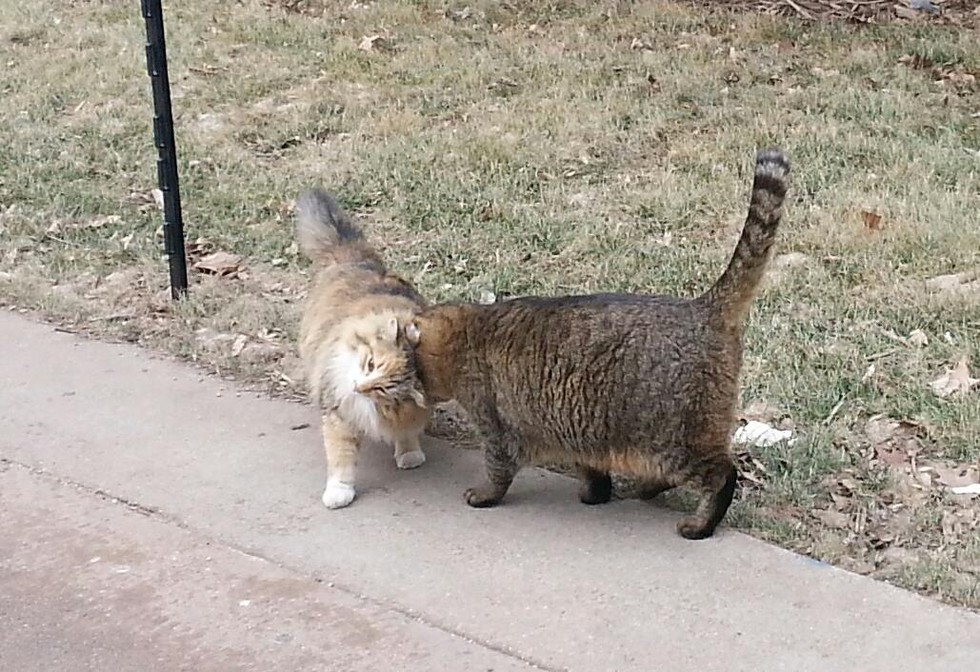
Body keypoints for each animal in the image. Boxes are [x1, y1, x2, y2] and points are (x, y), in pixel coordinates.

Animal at [292, 189, 426, 510]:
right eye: (370, 364)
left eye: (382, 391)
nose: (358, 388)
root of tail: (355, 257)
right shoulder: (338, 412)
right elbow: (342, 458)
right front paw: (339, 492)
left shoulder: (410, 412)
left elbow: (407, 430)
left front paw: (409, 454)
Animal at [406, 150, 788, 540]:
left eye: (416, 370)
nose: (419, 393)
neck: (471, 331)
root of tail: (702, 307)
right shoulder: (576, 429)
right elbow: (592, 469)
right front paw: (596, 492)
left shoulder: (499, 426)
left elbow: (499, 470)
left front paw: (486, 494)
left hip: (673, 439)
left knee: (722, 475)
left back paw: (701, 523)